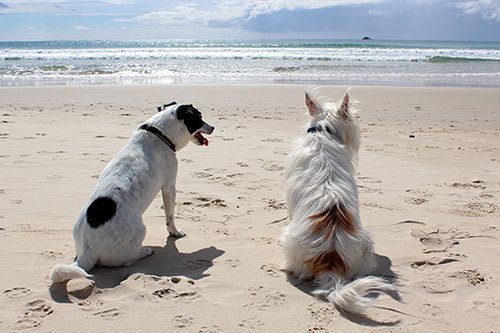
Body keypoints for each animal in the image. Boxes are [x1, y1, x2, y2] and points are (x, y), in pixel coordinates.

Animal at [50, 102, 213, 282]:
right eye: (199, 117)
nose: (213, 127)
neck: (159, 133)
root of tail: (87, 250)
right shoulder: (169, 187)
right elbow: (170, 216)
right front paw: (175, 232)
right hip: (140, 231)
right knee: (127, 260)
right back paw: (144, 251)